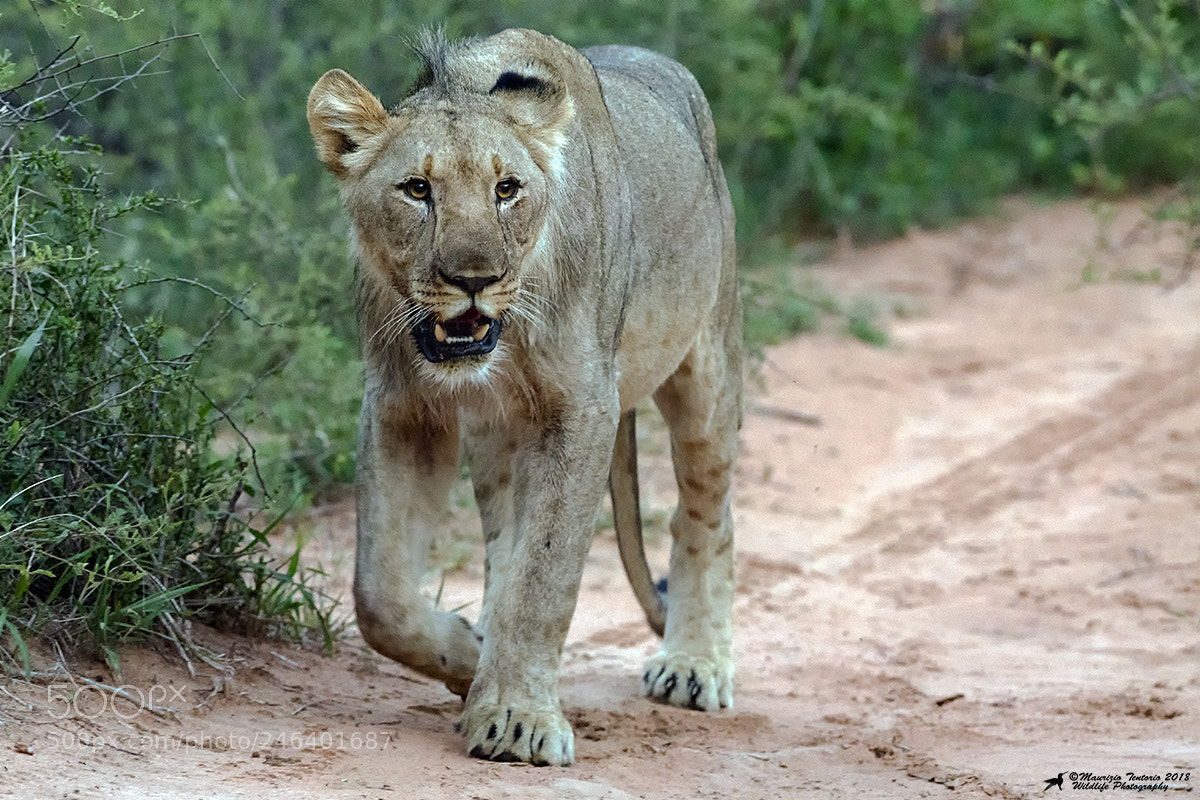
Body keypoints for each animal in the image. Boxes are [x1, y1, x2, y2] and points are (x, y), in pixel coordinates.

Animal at [307, 28, 741, 766]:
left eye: (507, 189)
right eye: (417, 189)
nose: (474, 280)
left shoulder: (583, 408)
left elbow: (544, 578)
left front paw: (517, 718)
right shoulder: (405, 406)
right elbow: (380, 594)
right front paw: (465, 657)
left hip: (706, 363)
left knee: (707, 513)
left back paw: (694, 663)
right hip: (499, 436)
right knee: (500, 543)